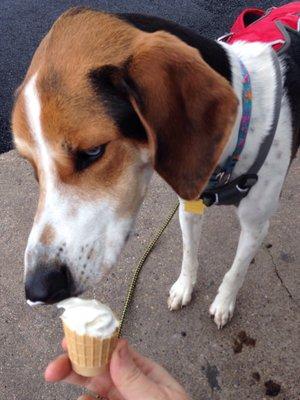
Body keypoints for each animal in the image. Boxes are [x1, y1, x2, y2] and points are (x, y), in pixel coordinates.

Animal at [11, 7, 298, 328]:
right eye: (32, 166)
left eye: (92, 152)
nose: (38, 289)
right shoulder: (189, 206)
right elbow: (189, 253)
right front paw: (184, 287)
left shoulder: (255, 226)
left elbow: (235, 272)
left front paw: (224, 302)